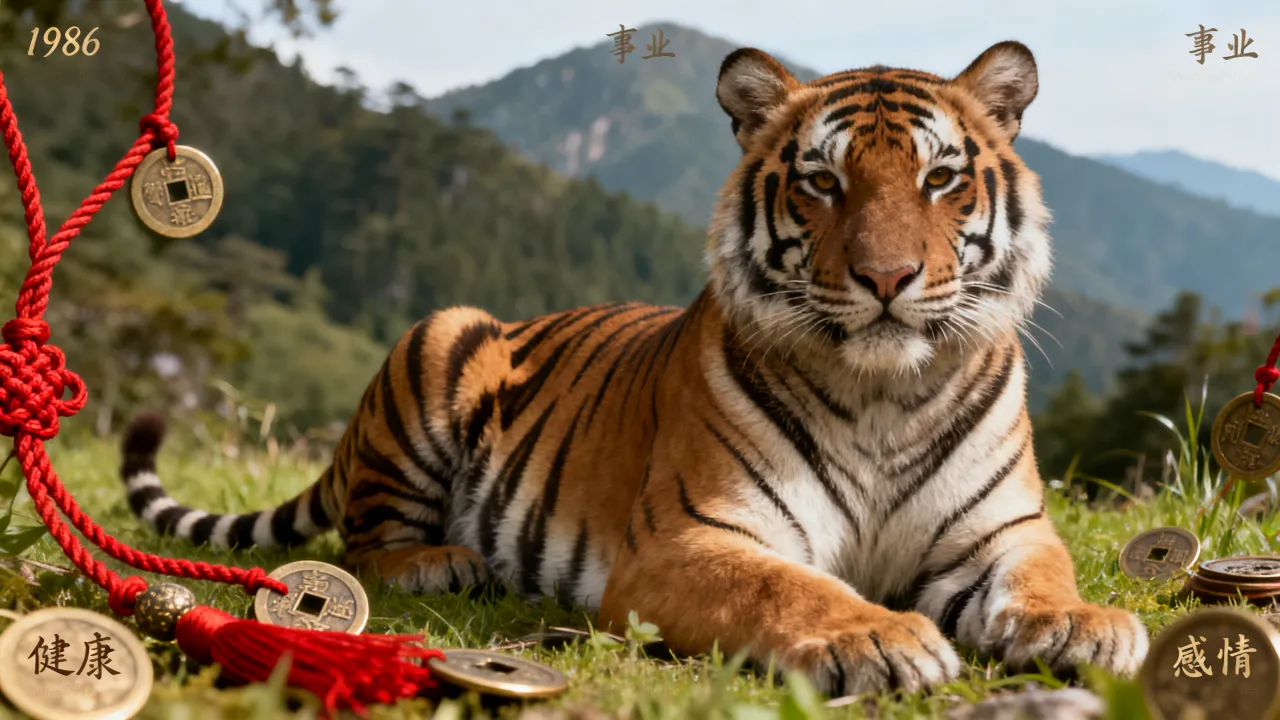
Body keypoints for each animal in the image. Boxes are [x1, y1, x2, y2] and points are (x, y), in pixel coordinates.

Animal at [120, 40, 1149, 696]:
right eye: (823, 181)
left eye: (940, 179)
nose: (887, 278)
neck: (883, 392)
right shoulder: (694, 542)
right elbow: (790, 586)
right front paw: (880, 634)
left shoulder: (1001, 531)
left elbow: (1043, 576)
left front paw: (1084, 623)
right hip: (440, 334)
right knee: (360, 540)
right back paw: (440, 562)